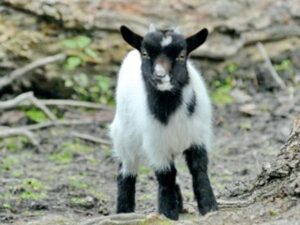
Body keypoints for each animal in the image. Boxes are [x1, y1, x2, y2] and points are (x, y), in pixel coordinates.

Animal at [110, 24, 218, 220]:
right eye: (145, 53)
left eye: (182, 55)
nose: (160, 75)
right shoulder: (156, 144)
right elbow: (165, 176)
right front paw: (167, 213)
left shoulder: (199, 136)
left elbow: (198, 169)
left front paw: (209, 207)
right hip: (123, 136)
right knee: (126, 171)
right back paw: (124, 211)